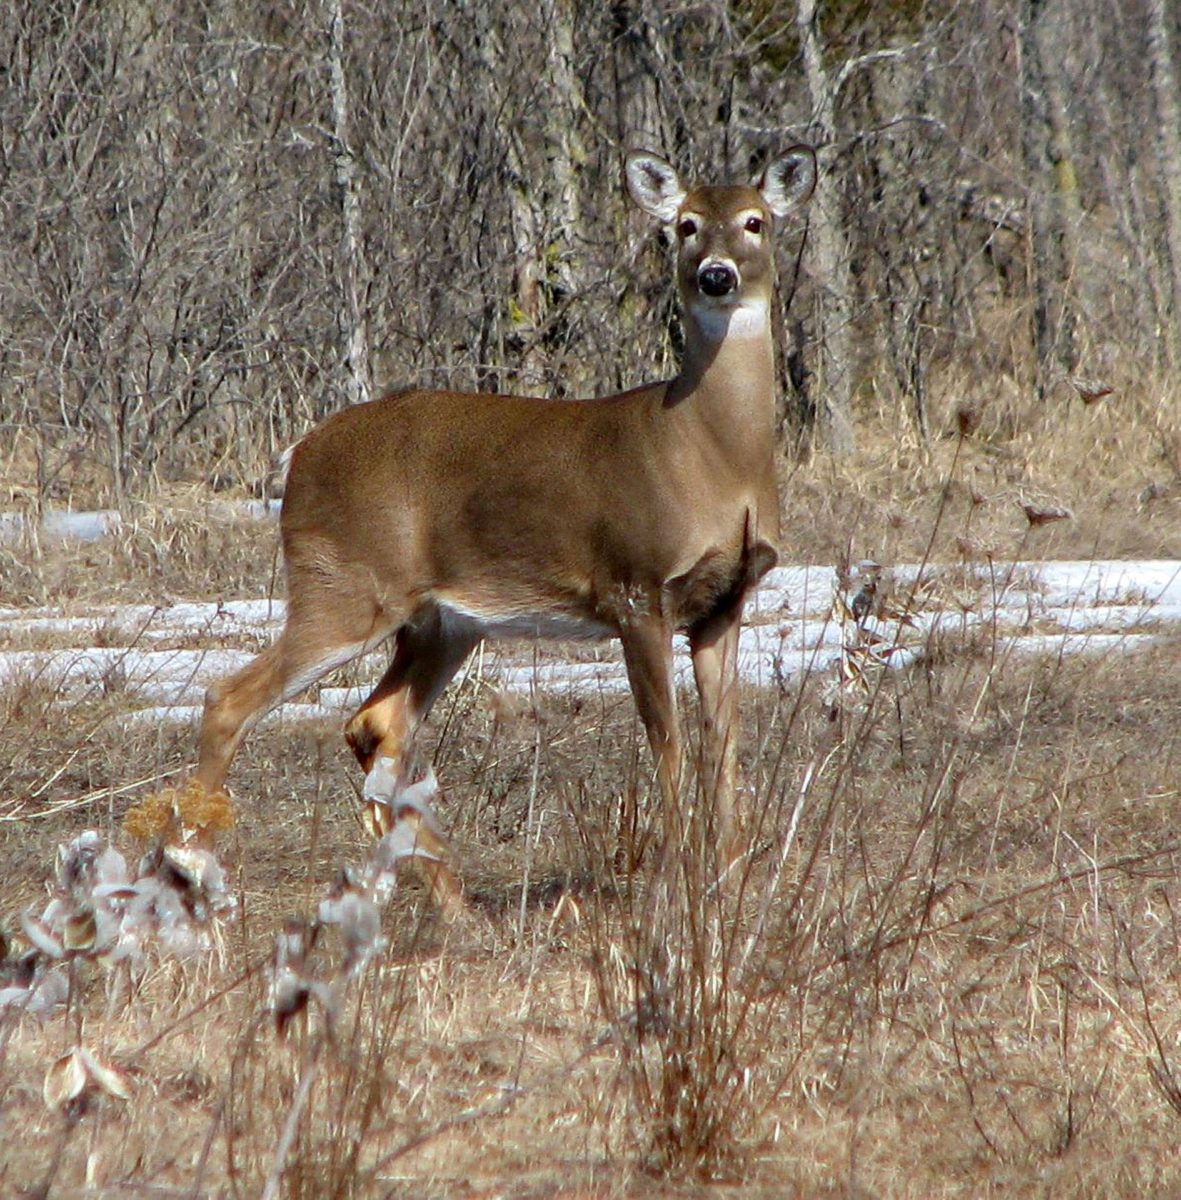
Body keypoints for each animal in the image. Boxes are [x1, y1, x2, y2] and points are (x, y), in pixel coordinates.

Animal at [187, 150, 811, 912]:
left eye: (754, 221)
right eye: (684, 226)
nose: (715, 274)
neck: (712, 457)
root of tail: (299, 452)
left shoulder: (725, 601)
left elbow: (723, 741)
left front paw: (731, 880)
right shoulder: (635, 587)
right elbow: (664, 739)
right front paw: (676, 881)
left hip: (440, 621)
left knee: (378, 725)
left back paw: (454, 905)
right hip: (344, 585)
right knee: (228, 700)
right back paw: (197, 878)